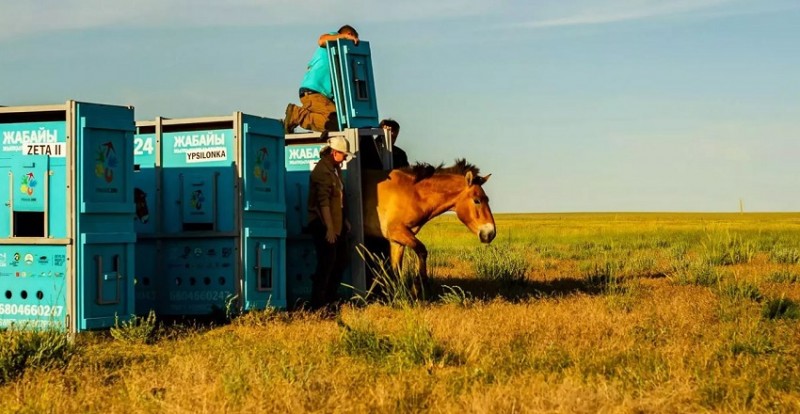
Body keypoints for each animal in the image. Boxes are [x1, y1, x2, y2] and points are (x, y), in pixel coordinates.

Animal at [360, 159, 494, 294]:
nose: (490, 233)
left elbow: (396, 270)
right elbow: (422, 251)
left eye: (487, 199)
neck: (412, 193)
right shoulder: (397, 231)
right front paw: (417, 287)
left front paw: (397, 293)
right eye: (477, 200)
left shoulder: (396, 241)